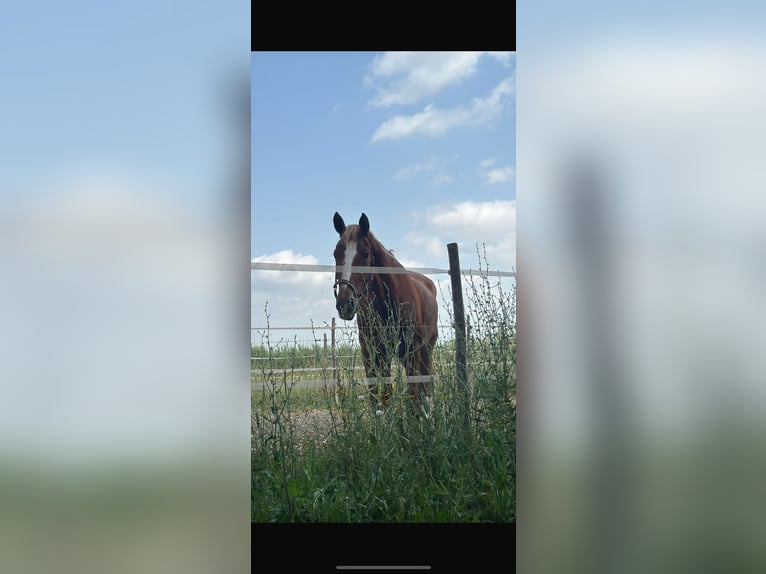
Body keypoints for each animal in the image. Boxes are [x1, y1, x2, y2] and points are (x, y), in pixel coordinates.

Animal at [332, 212, 439, 410]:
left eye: (366, 254)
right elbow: (380, 397)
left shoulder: (412, 351)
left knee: (424, 388)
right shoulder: (371, 353)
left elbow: (413, 397)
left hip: (426, 349)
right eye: (336, 254)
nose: (344, 304)